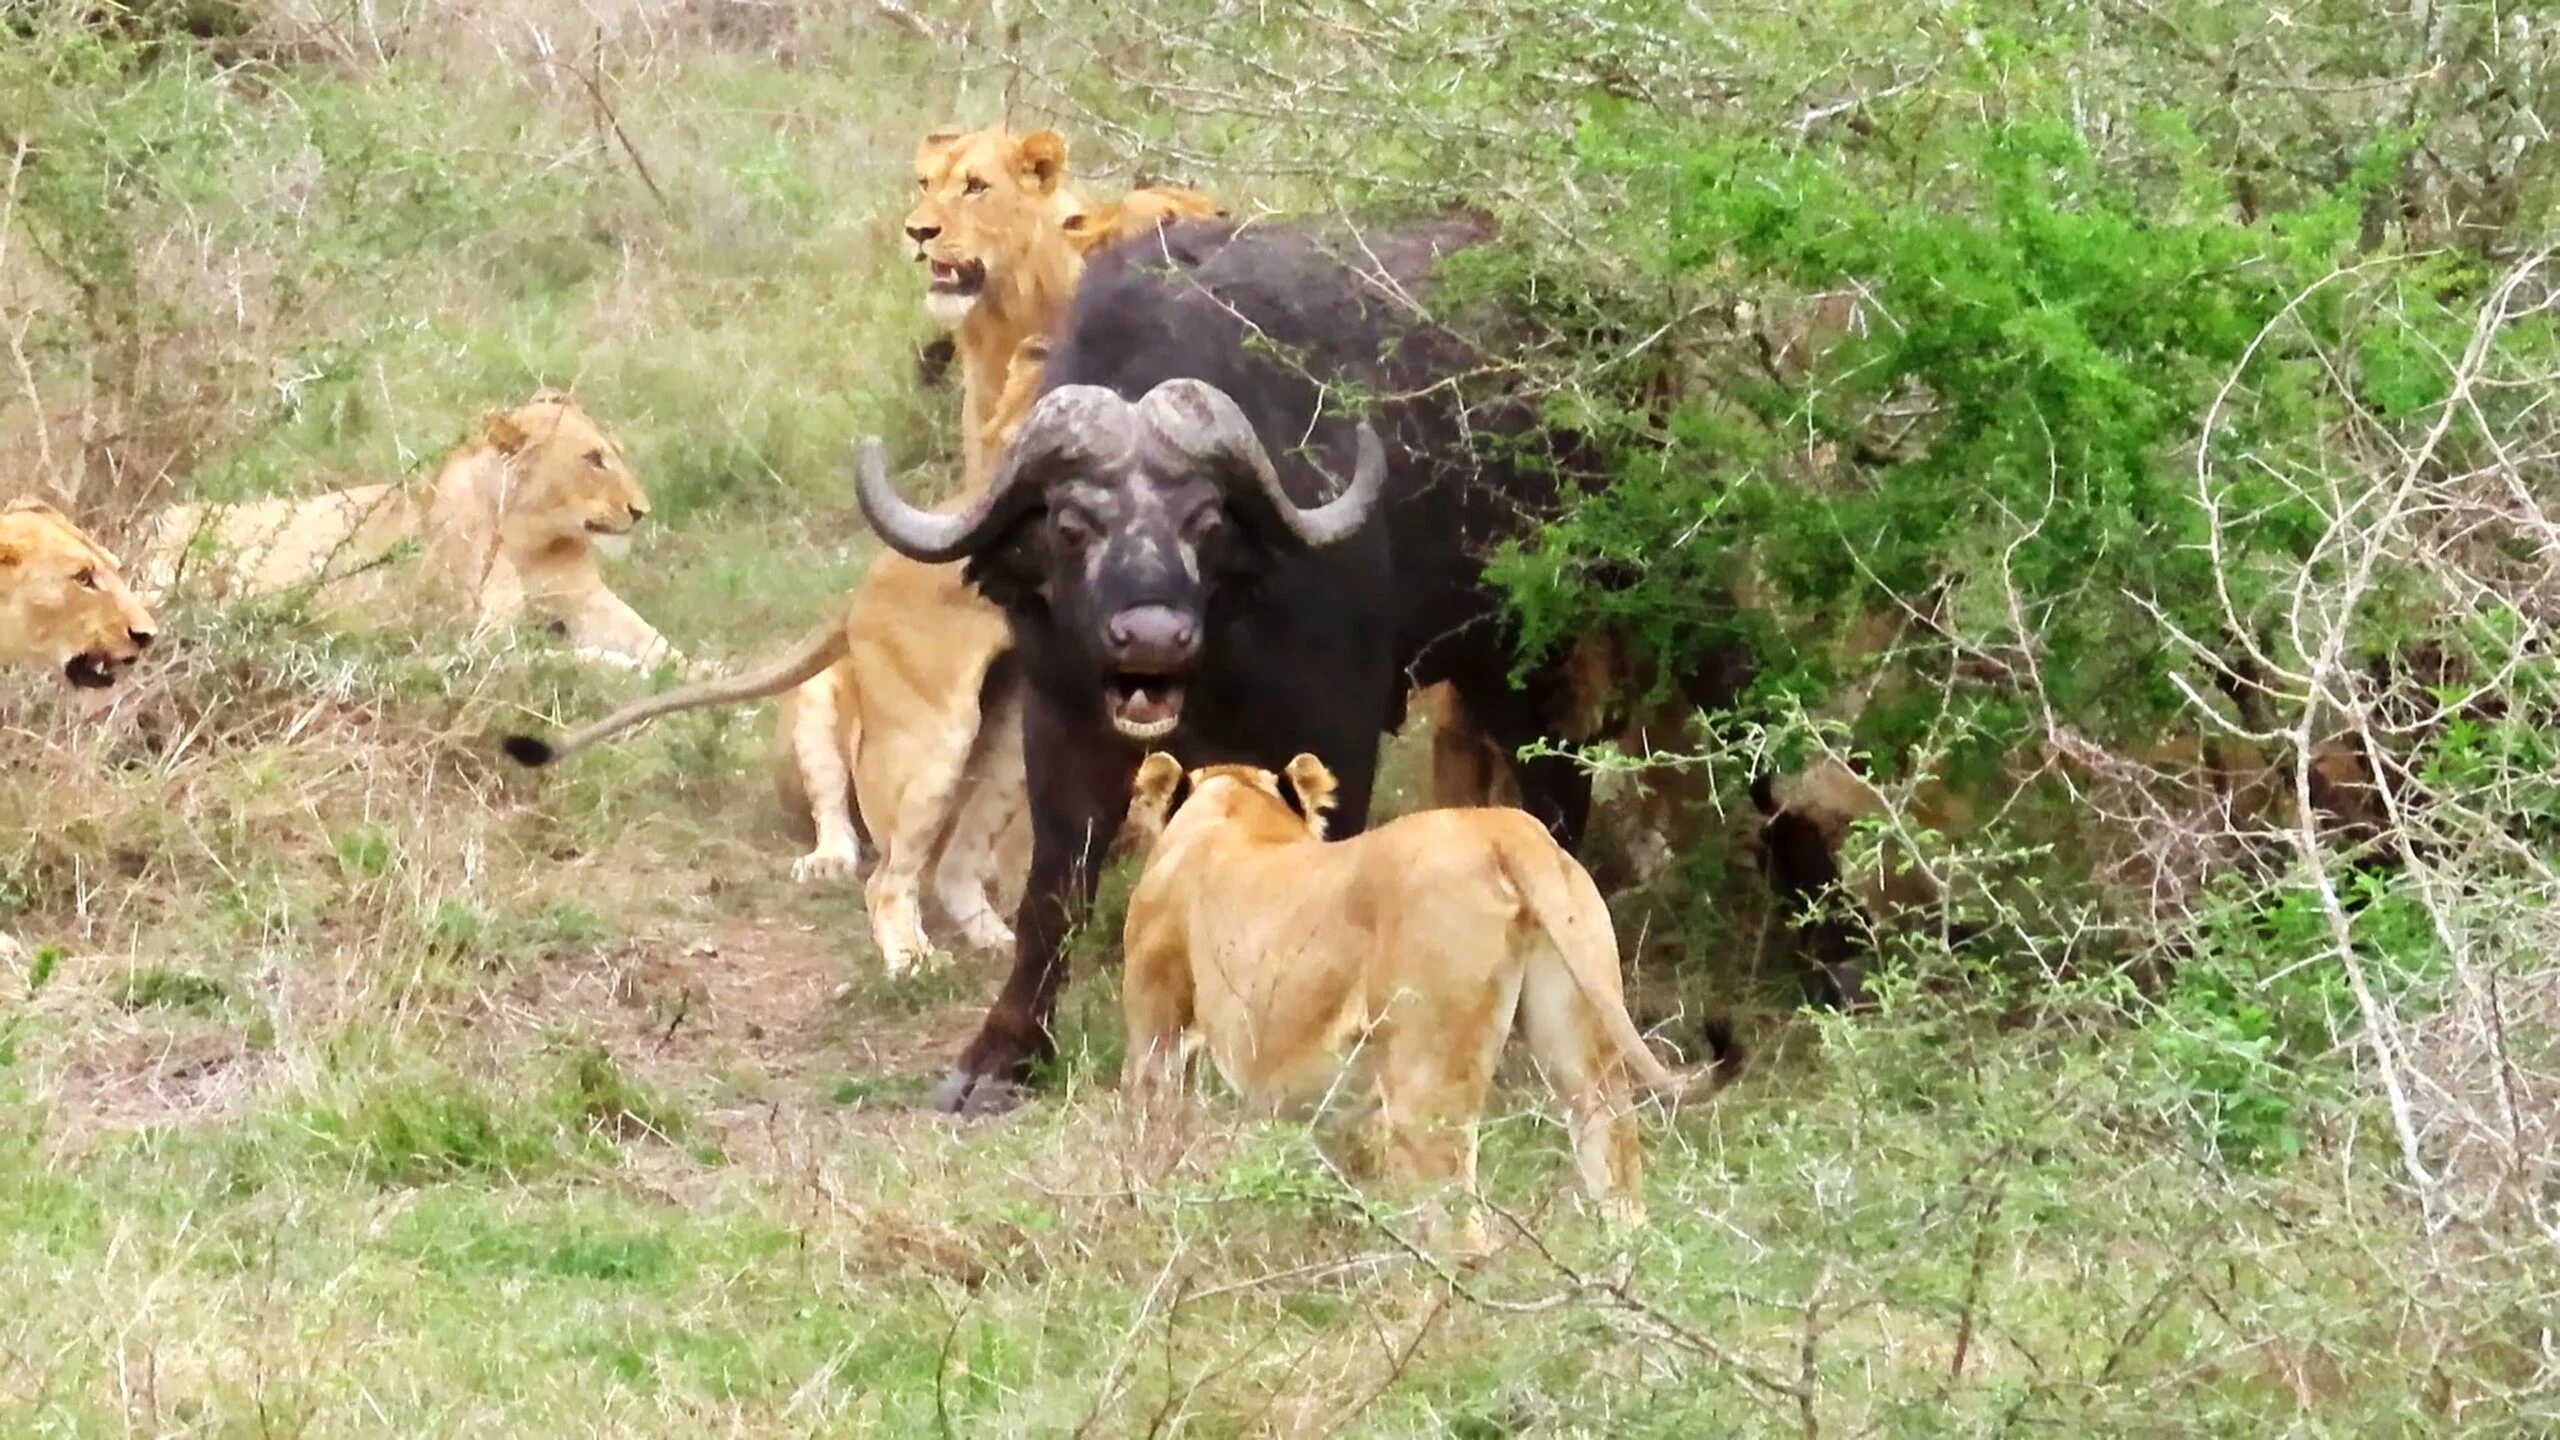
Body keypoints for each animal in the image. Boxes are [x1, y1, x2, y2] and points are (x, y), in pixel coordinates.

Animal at [134, 391, 675, 668]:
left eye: (614, 452)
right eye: (593, 459)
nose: (642, 511)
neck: (529, 538)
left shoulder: (588, 602)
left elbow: (657, 644)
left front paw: (687, 674)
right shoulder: (486, 638)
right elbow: (569, 658)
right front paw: (625, 669)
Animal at [854, 213, 1702, 1113]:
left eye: (1205, 522)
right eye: (1072, 525)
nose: (1151, 635)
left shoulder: (1337, 730)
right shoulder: (1061, 724)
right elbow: (1054, 888)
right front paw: (1003, 1053)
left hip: (1527, 649)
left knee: (1555, 789)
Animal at [1118, 751, 1738, 1250]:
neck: (1236, 801)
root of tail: (1501, 826)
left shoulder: (1157, 1029)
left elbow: (1149, 1138)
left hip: (1426, 1078)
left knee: (1463, 1233)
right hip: (1582, 1042)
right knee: (1619, 1181)